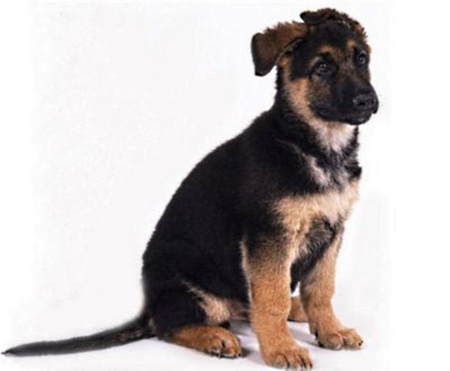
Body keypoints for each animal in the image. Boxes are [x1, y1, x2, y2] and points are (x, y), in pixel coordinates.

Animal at [4, 7, 376, 370]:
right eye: (322, 68)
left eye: (361, 59)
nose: (367, 100)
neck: (314, 146)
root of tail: (149, 307)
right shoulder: (269, 235)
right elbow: (272, 298)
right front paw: (280, 349)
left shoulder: (332, 232)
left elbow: (321, 289)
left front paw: (330, 329)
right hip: (189, 279)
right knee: (172, 326)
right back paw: (216, 337)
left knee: (245, 305)